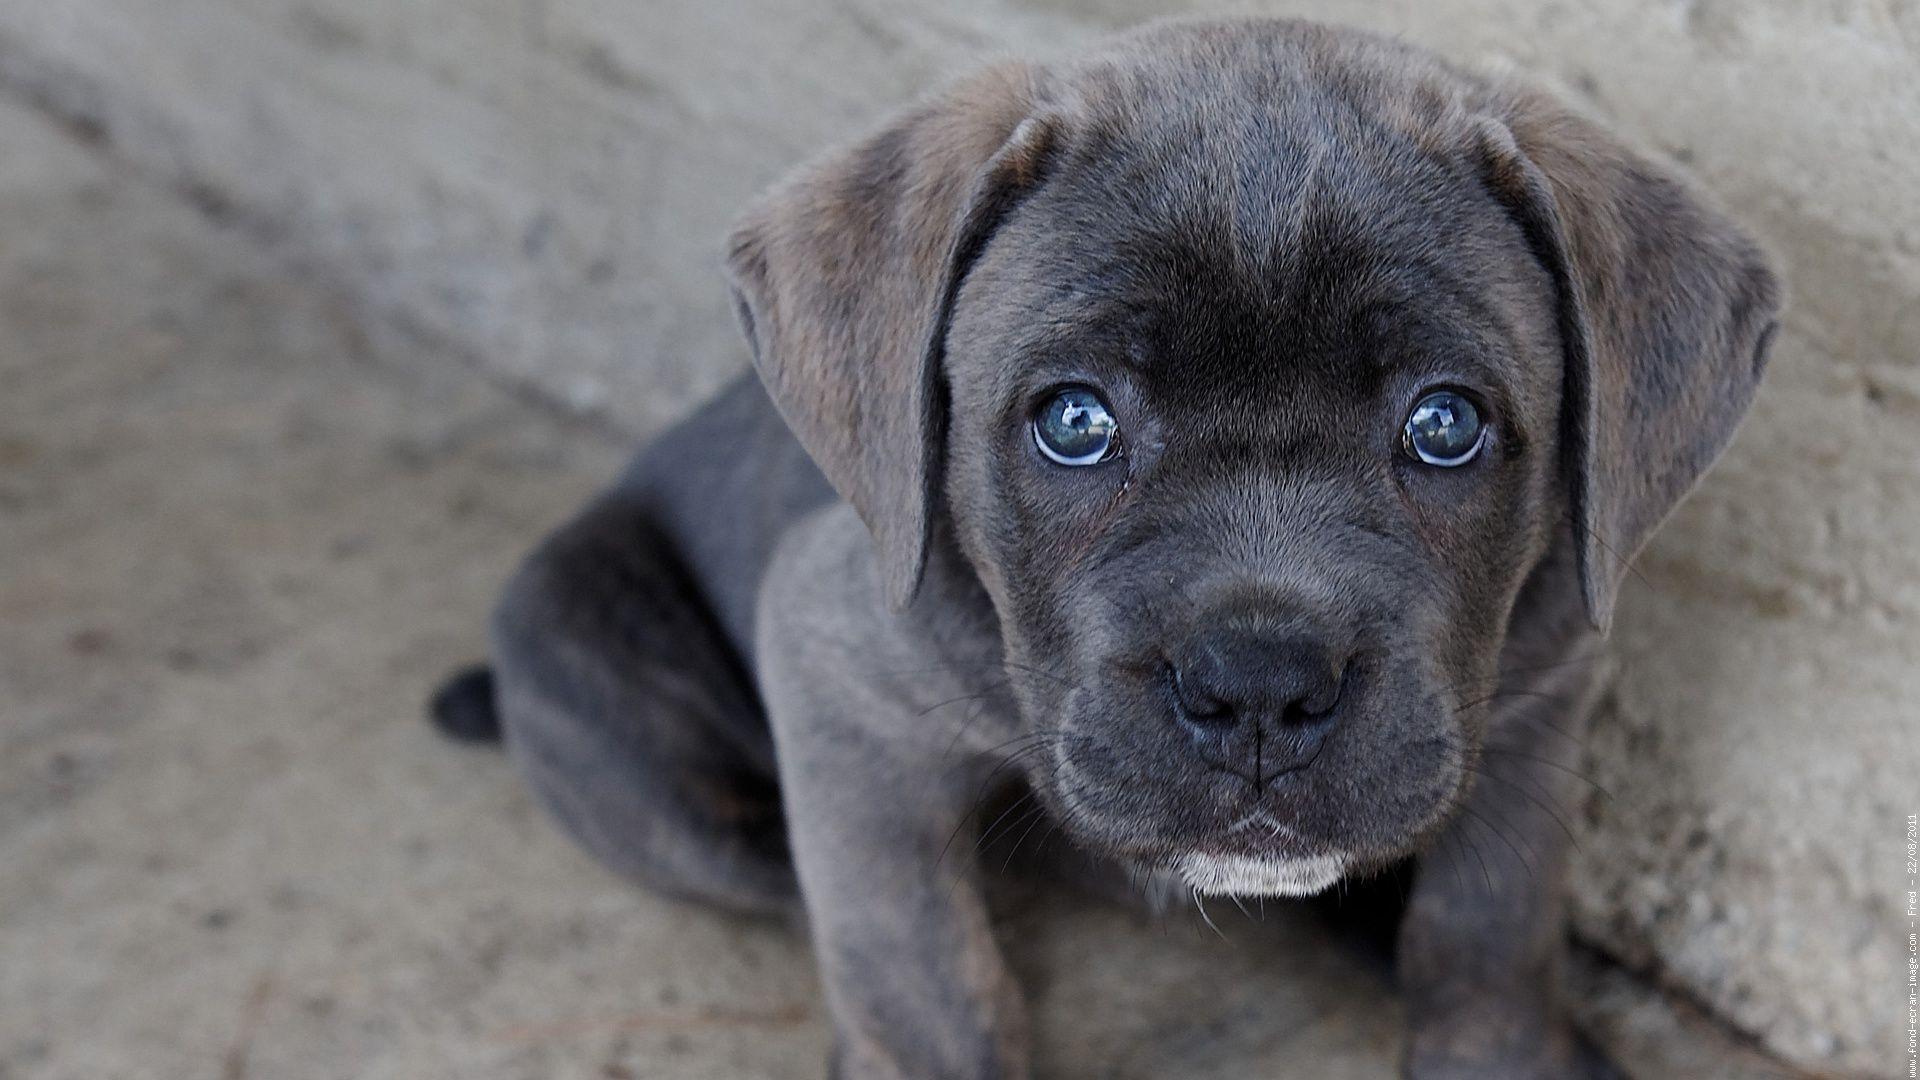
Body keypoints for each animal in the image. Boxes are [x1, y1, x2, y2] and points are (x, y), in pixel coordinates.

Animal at [428, 16, 1774, 1076]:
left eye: (1446, 425)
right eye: (1075, 422)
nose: (1259, 689)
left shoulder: (1539, 706)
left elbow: (1486, 942)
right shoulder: (838, 691)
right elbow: (920, 977)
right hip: (621, 706)